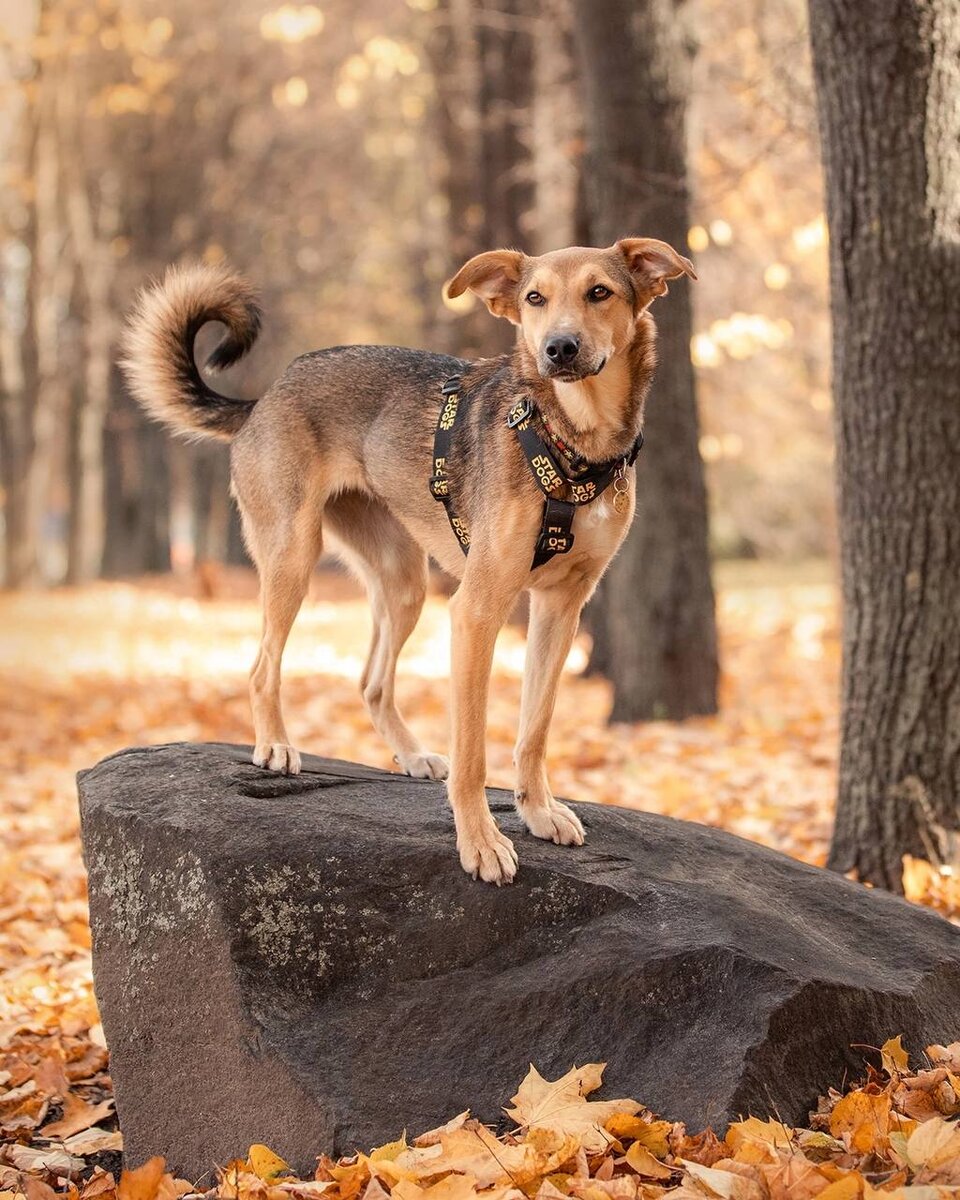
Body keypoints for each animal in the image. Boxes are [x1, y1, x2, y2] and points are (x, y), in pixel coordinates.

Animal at [121, 241, 696, 883]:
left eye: (600, 292)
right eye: (534, 298)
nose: (559, 348)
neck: (572, 440)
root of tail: (261, 399)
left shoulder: (560, 608)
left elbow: (534, 729)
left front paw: (538, 810)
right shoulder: (476, 610)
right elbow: (474, 752)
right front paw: (482, 842)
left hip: (403, 582)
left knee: (372, 683)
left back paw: (413, 754)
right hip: (293, 556)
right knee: (261, 666)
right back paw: (275, 745)